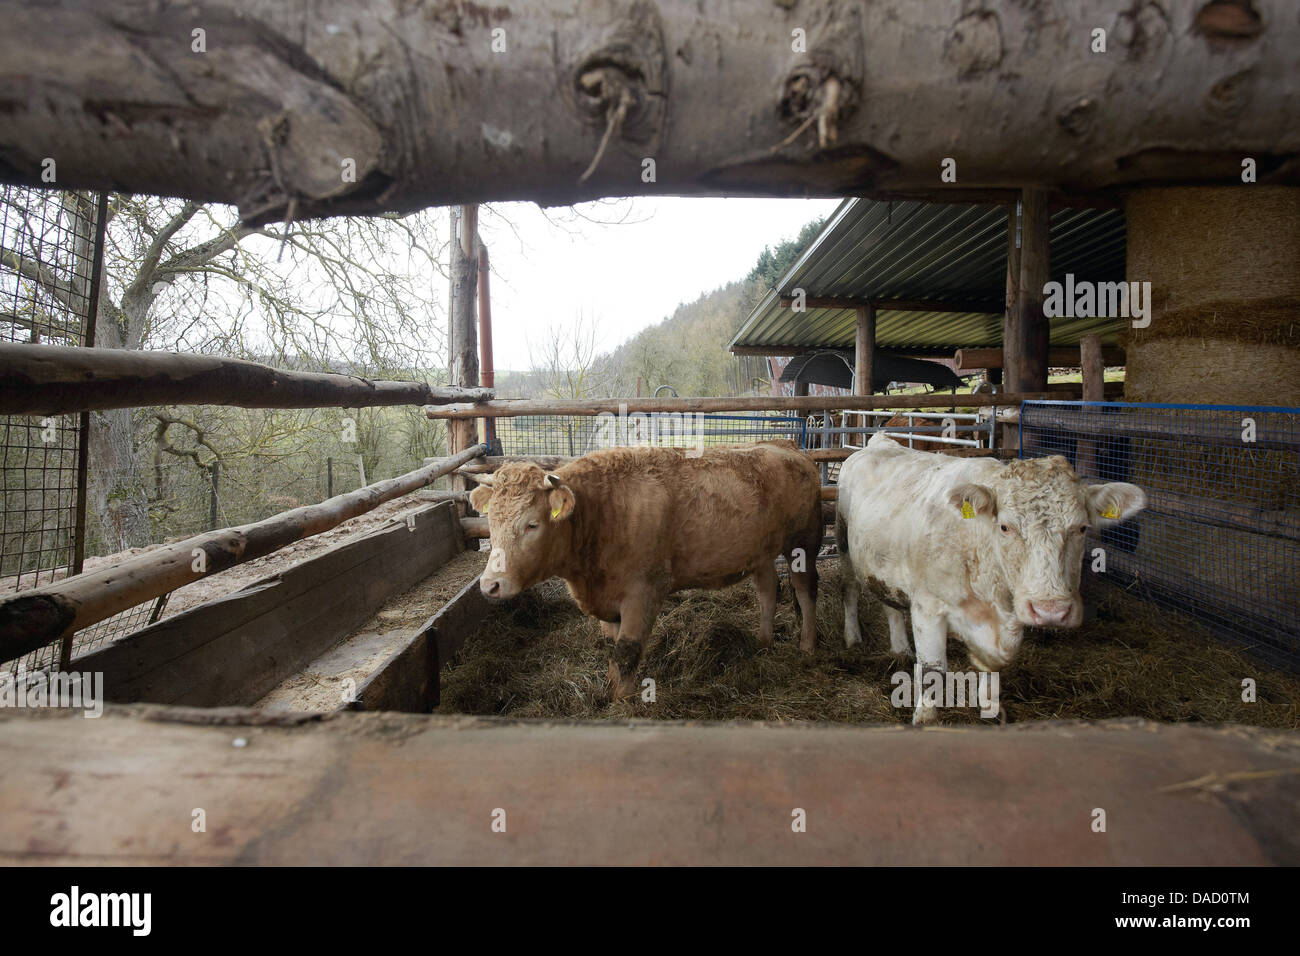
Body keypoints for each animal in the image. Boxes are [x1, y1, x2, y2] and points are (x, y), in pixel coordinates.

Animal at [470, 442, 821, 697]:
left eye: (532, 524)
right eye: (491, 521)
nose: (490, 585)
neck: (602, 511)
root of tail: (787, 447)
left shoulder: (644, 592)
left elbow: (627, 652)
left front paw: (622, 703)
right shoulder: (607, 599)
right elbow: (613, 649)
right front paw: (609, 690)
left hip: (803, 544)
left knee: (805, 590)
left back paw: (807, 646)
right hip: (762, 551)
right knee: (768, 588)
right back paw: (763, 640)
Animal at [832, 429, 1149, 723]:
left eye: (1081, 528)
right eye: (1005, 527)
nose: (1050, 610)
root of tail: (880, 440)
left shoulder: (1007, 617)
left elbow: (994, 665)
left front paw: (989, 709)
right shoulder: (928, 606)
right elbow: (933, 671)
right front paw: (924, 718)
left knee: (890, 604)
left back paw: (900, 647)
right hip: (844, 542)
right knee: (849, 590)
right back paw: (853, 638)